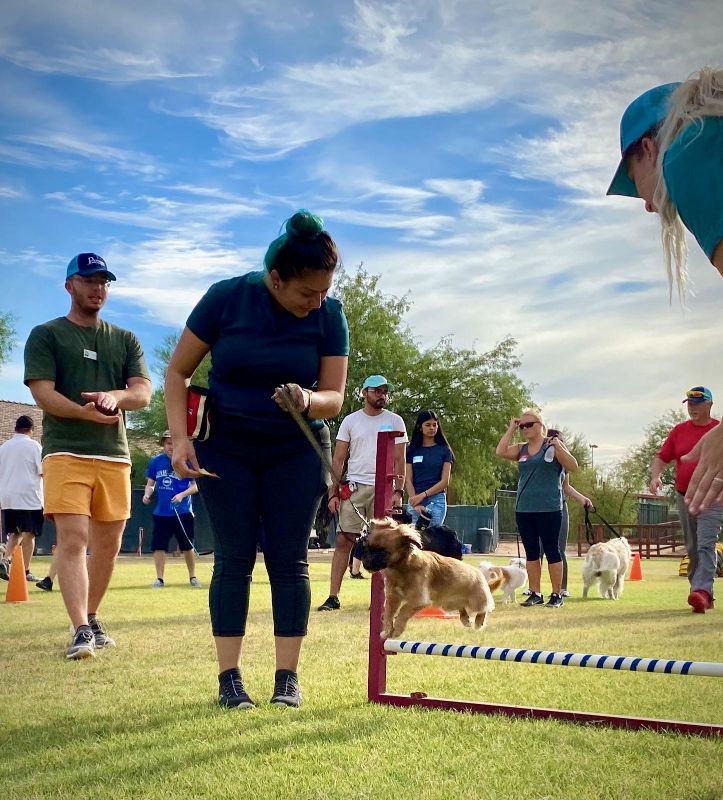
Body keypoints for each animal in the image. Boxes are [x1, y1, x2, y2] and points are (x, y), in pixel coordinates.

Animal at [362, 520, 504, 636]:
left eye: (382, 552)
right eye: (368, 548)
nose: (365, 564)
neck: (402, 568)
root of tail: (480, 575)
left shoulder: (418, 600)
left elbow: (403, 611)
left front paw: (397, 629)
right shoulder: (393, 598)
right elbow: (388, 614)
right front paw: (387, 631)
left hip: (476, 602)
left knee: (485, 608)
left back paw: (479, 622)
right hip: (449, 604)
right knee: (462, 608)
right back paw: (465, 619)